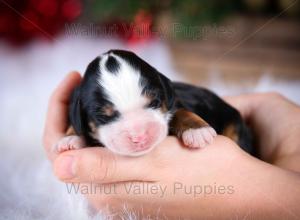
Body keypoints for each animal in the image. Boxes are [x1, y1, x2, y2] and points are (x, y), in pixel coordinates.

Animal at [54, 49, 253, 156]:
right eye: (103, 116)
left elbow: (180, 111)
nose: (140, 137)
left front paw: (197, 130)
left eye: (155, 103)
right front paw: (70, 138)